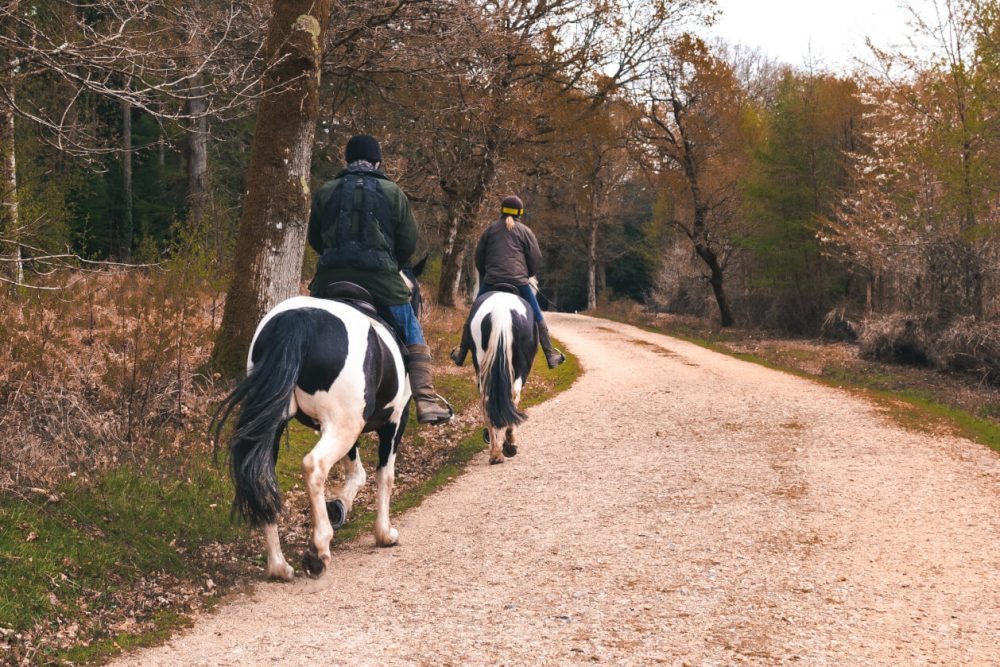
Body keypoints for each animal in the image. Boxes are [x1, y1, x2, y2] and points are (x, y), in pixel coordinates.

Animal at [213, 266, 424, 580]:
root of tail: (298, 321)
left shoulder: (351, 428)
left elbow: (357, 473)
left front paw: (339, 506)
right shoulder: (394, 421)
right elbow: (384, 476)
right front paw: (384, 533)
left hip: (278, 426)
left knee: (262, 476)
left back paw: (278, 566)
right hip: (341, 427)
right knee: (314, 466)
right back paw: (318, 550)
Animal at [462, 290, 540, 468]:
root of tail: (501, 311)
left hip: (482, 364)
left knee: (486, 400)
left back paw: (495, 454)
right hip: (521, 366)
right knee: (513, 394)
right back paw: (509, 444)